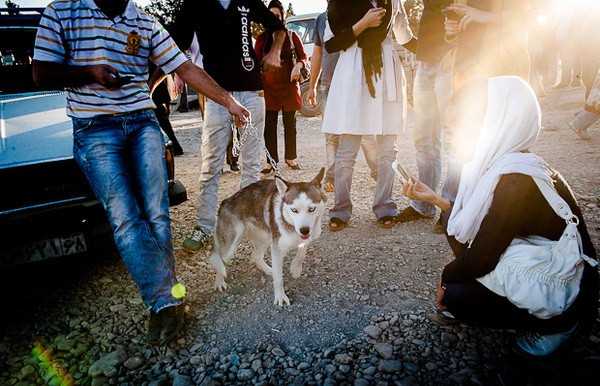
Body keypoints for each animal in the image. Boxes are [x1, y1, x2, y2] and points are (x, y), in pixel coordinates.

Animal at [209, 167, 326, 306]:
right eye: (294, 210)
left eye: (312, 209)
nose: (304, 230)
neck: (291, 226)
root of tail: (225, 201)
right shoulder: (277, 248)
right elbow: (279, 279)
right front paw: (280, 296)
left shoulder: (310, 234)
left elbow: (302, 251)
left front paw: (295, 269)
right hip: (231, 245)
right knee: (219, 259)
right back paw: (219, 281)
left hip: (265, 237)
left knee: (256, 256)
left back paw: (270, 270)